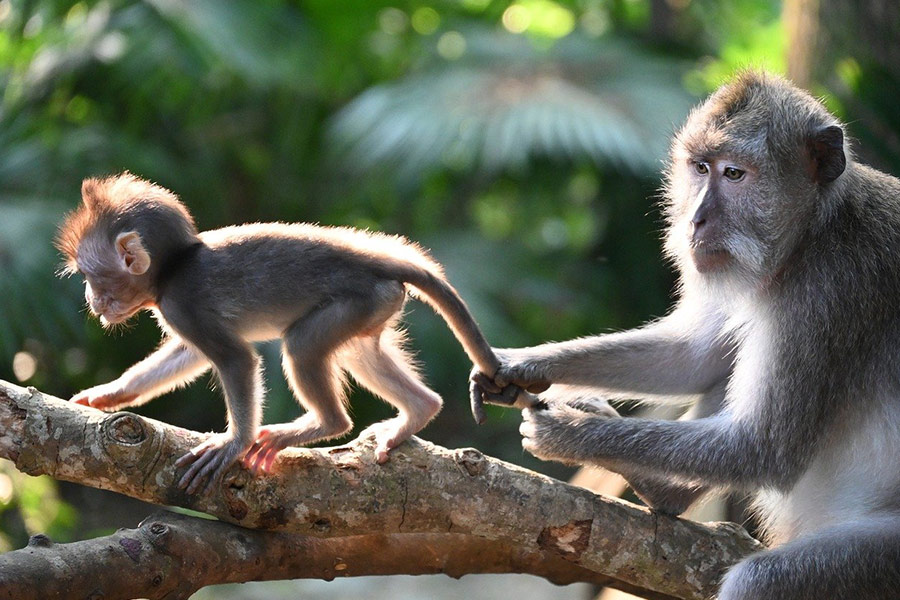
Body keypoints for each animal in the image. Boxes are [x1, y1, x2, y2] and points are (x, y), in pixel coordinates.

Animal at [57, 173, 527, 495]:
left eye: (92, 277)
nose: (90, 299)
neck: (172, 269)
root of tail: (374, 258)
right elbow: (188, 356)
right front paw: (109, 394)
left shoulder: (182, 304)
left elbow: (235, 359)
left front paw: (234, 442)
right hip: (376, 302)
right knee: (359, 353)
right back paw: (417, 411)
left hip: (355, 300)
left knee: (302, 347)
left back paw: (321, 424)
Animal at [471, 71, 900, 599]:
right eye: (700, 168)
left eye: (734, 174)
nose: (695, 218)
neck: (811, 235)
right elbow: (691, 357)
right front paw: (522, 364)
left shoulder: (829, 293)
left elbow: (762, 447)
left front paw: (570, 434)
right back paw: (664, 490)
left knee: (763, 578)